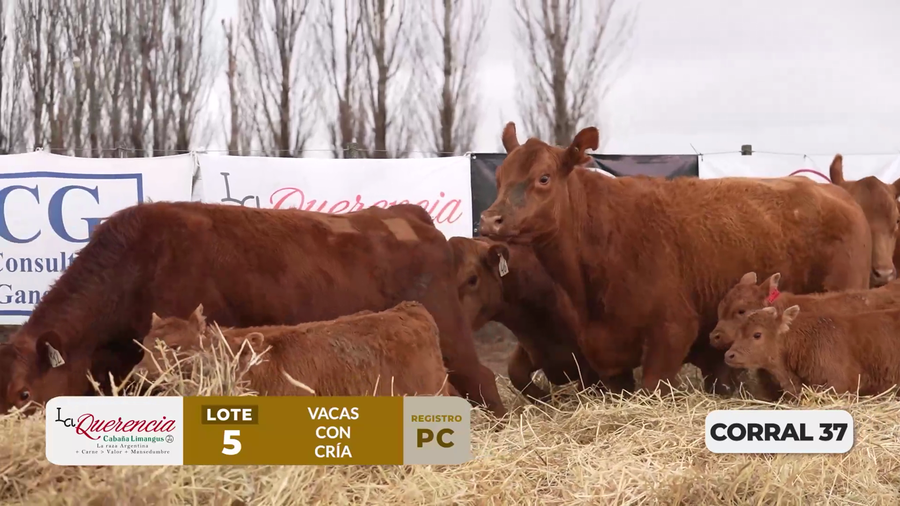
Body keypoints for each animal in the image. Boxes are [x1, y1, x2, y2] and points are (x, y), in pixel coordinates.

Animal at [477, 122, 872, 396]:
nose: (489, 219)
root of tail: (837, 193)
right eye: (499, 176)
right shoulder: (606, 357)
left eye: (543, 178)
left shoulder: (671, 334)